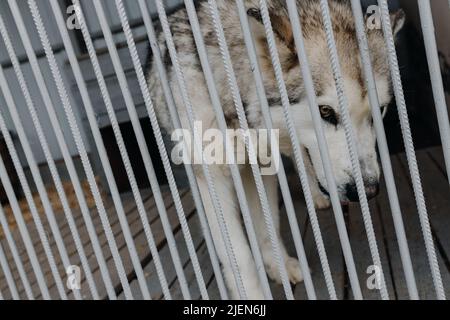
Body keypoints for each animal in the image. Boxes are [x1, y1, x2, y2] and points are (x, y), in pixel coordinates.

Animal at [147, 0, 404, 300]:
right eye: (326, 111)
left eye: (379, 111)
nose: (369, 190)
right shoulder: (214, 177)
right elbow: (240, 255)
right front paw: (252, 295)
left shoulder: (262, 166)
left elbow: (268, 225)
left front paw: (278, 265)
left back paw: (317, 196)